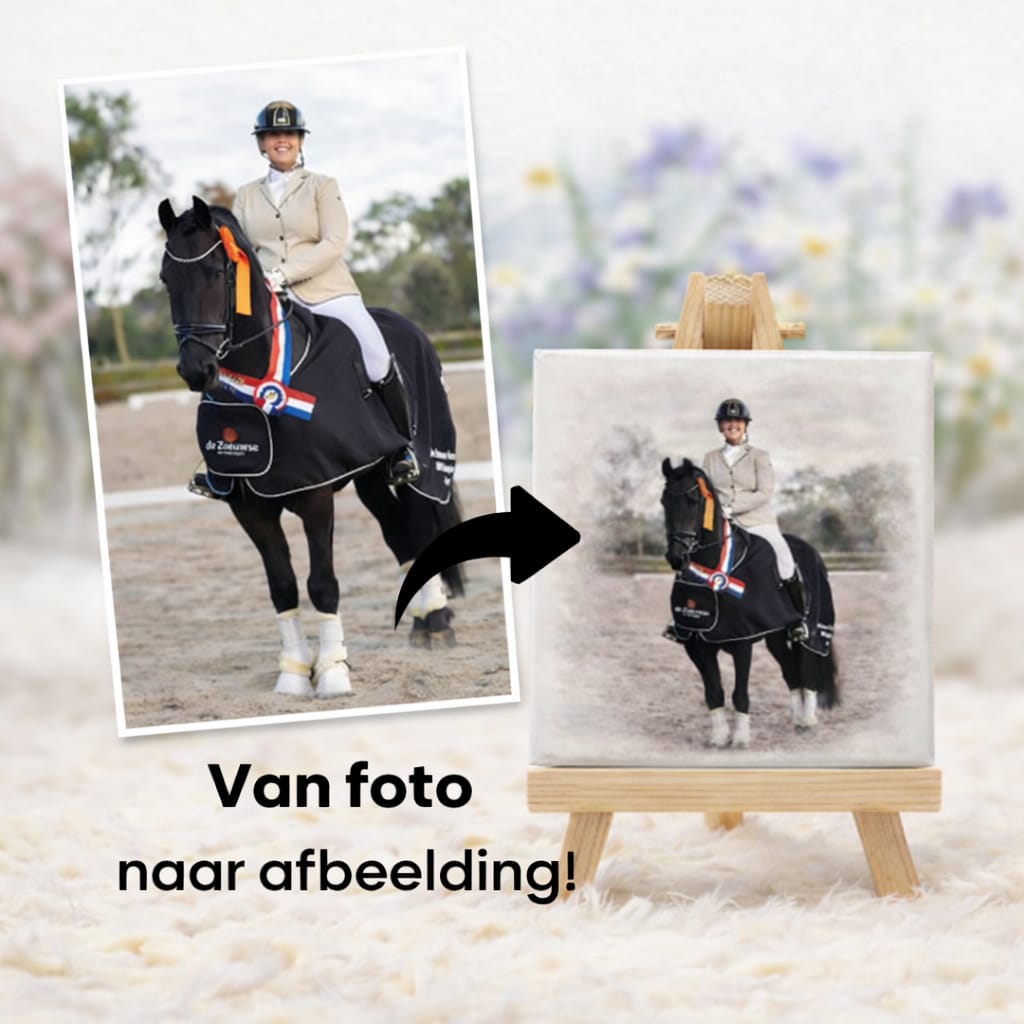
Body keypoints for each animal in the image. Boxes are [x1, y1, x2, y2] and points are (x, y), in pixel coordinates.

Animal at [158, 195, 464, 698]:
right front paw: (295, 673)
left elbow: (322, 583)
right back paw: (421, 622)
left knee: (419, 525)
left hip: (419, 466)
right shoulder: (249, 506)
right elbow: (281, 585)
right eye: (166, 278)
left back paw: (437, 624)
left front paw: (334, 672)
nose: (195, 369)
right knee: (398, 534)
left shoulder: (317, 496)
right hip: (370, 477)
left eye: (218, 273)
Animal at [660, 458, 838, 748]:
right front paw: (719, 738)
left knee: (808, 669)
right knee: (790, 671)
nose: (677, 557)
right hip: (776, 636)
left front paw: (741, 739)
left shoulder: (742, 642)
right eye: (664, 501)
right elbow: (714, 692)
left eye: (694, 501)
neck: (714, 564)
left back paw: (808, 721)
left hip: (814, 628)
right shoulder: (695, 644)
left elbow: (739, 693)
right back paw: (797, 720)